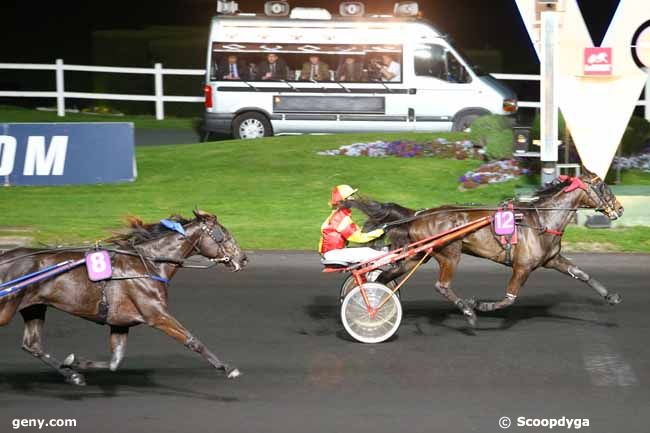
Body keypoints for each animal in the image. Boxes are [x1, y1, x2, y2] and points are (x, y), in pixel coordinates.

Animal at [0, 209, 247, 384]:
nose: (243, 259)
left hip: (34, 307)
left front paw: (74, 364)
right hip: (6, 309)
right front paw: (228, 368)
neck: (148, 263)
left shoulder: (120, 322)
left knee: (32, 345)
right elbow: (193, 341)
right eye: (223, 235)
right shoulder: (156, 314)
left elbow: (114, 362)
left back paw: (72, 376)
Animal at [344, 170, 624, 326]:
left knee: (385, 276)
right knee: (441, 285)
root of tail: (418, 214)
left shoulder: (552, 259)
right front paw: (481, 305)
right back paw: (467, 311)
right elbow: (509, 298)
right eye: (602, 186)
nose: (619, 209)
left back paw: (375, 302)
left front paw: (611, 296)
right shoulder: (522, 267)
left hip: (418, 256)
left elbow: (582, 274)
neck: (541, 219)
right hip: (449, 253)